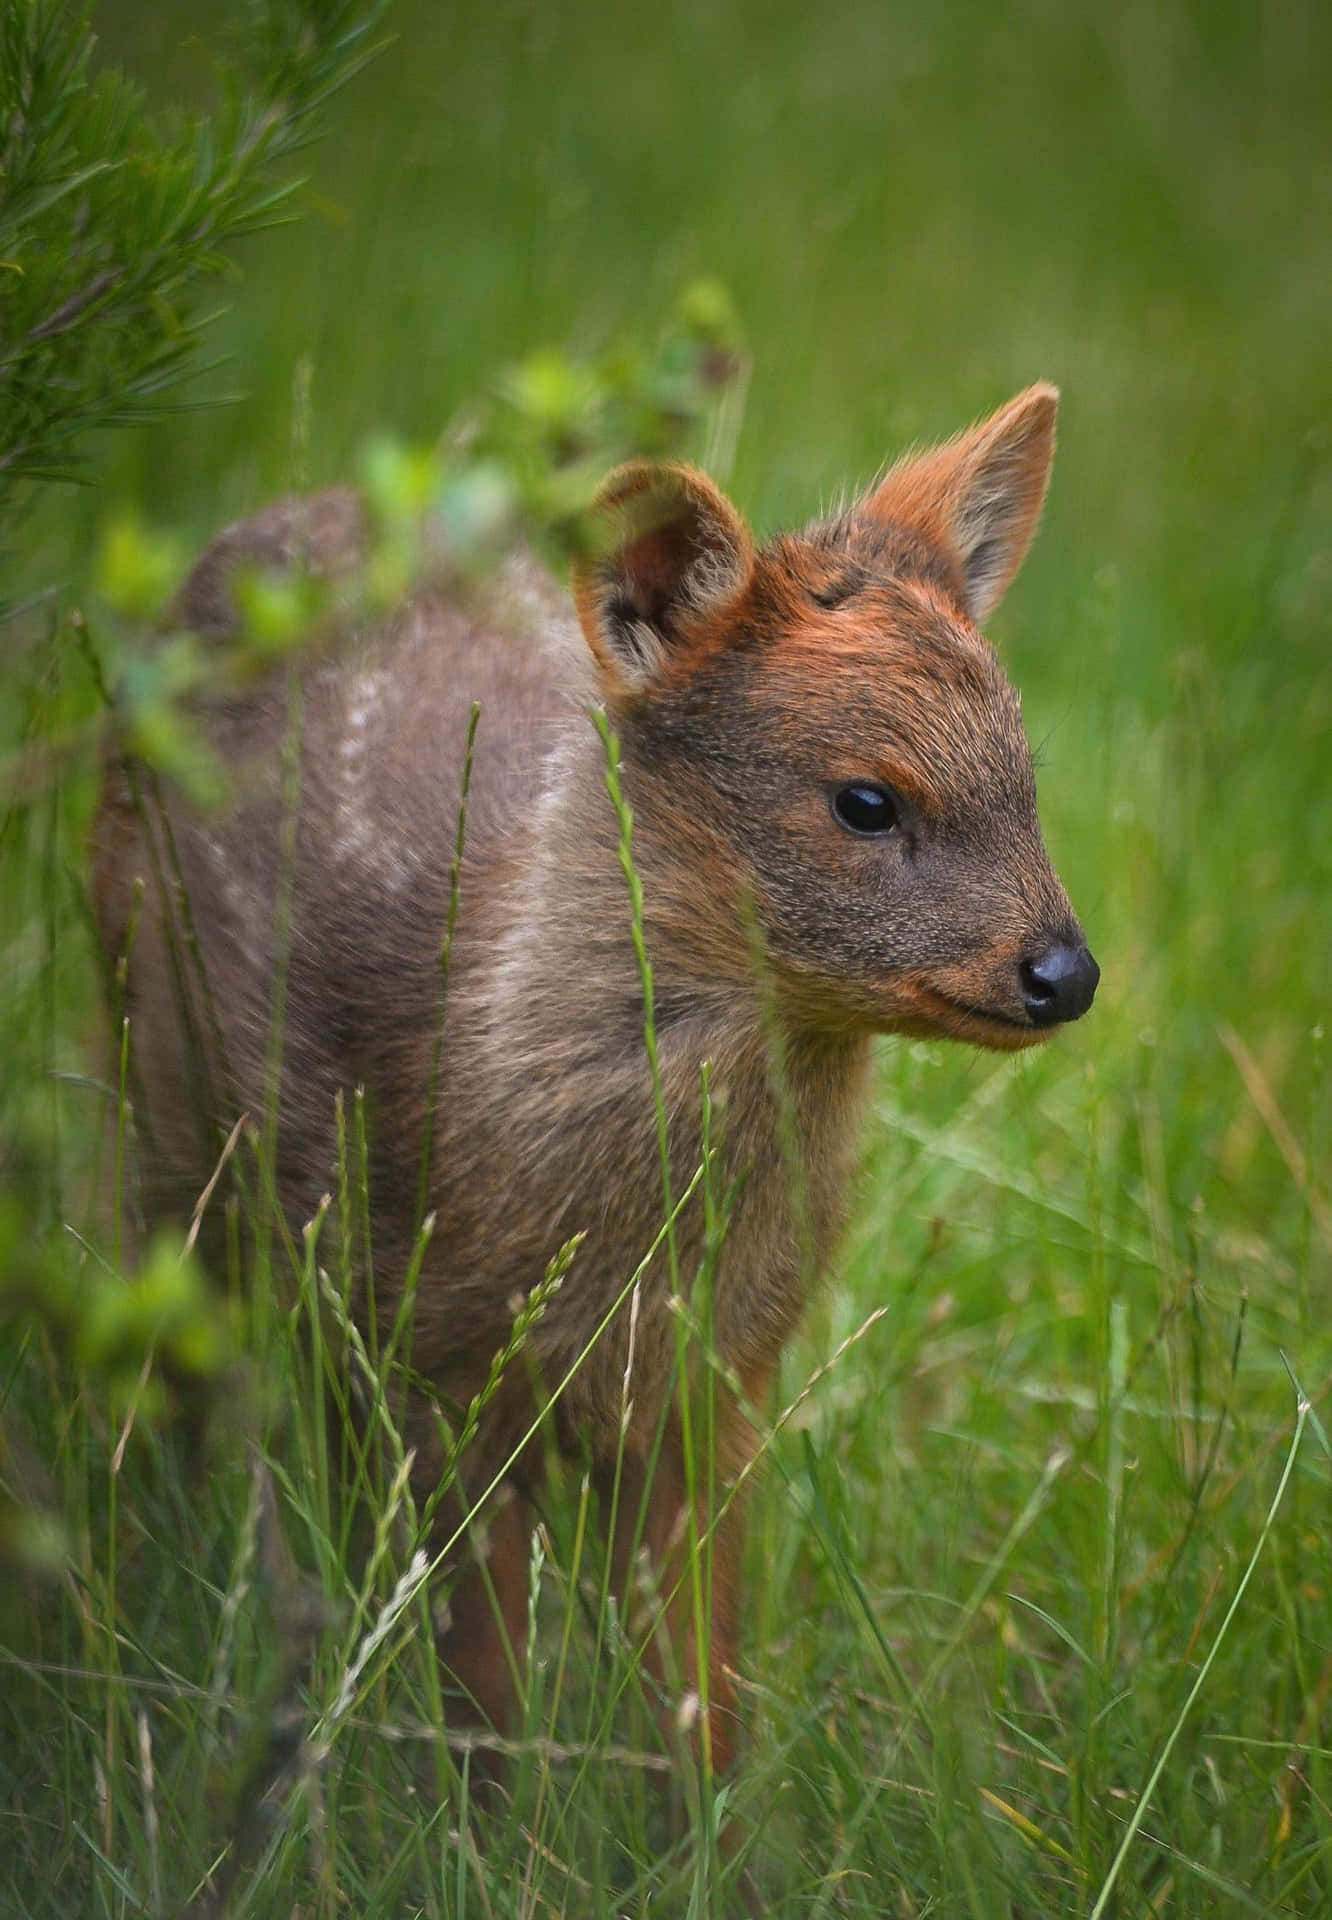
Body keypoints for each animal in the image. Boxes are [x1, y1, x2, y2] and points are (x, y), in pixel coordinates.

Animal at [91, 385, 1097, 1781]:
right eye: (864, 799)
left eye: (1025, 779)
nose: (1065, 972)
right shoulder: (444, 1372)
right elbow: (484, 1704)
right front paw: (476, 1818)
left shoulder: (718, 1387)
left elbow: (701, 1706)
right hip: (155, 1113)